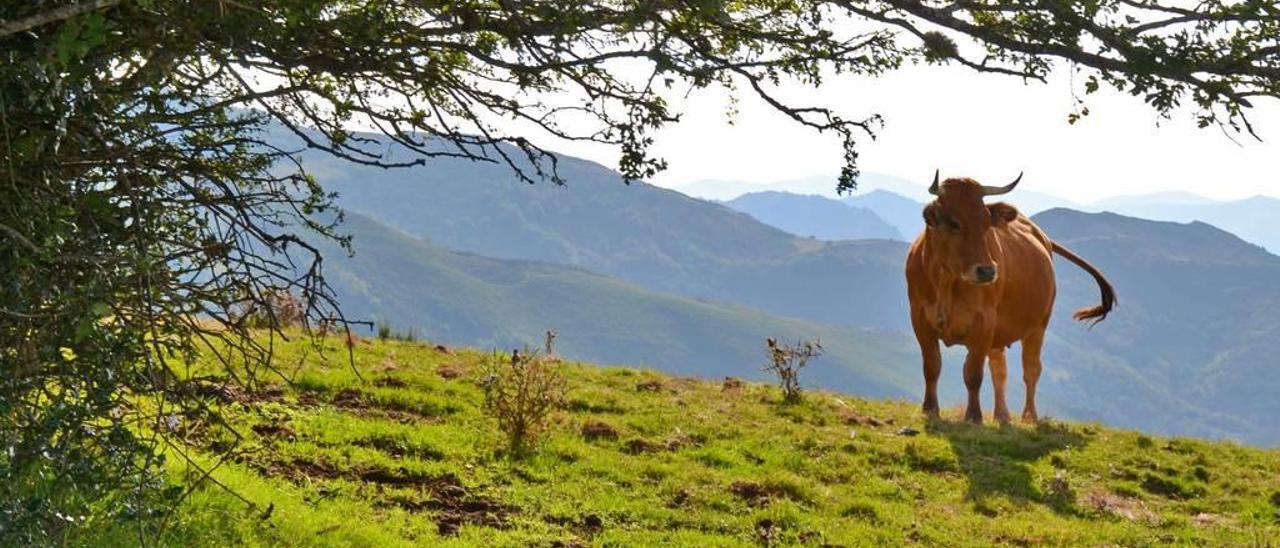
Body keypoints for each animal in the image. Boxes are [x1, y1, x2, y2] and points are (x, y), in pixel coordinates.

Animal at [906, 171, 1116, 425]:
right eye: (954, 222)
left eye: (986, 222)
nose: (987, 271)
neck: (946, 281)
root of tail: (1040, 234)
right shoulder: (919, 319)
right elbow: (932, 367)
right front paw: (930, 409)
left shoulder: (984, 322)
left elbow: (973, 374)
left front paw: (974, 416)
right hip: (999, 334)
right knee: (1000, 371)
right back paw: (1002, 415)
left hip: (1038, 325)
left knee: (1031, 370)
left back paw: (1029, 416)